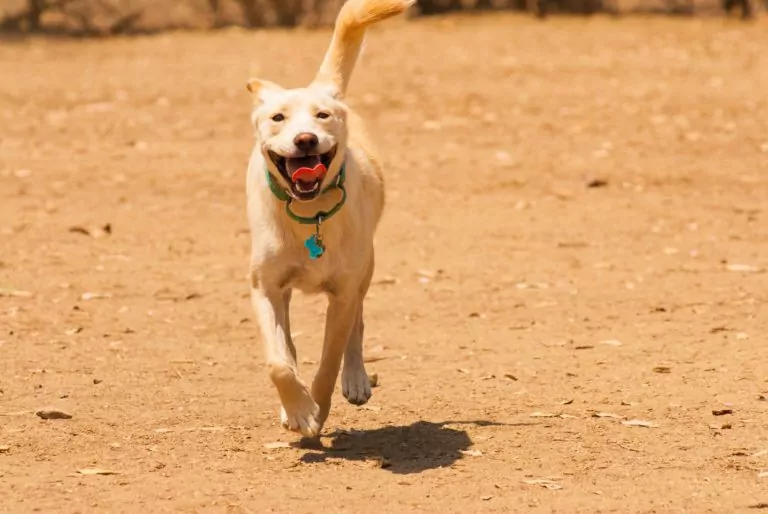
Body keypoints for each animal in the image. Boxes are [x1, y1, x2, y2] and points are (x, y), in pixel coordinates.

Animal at [244, 0, 414, 436]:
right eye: (278, 118)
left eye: (322, 116)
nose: (305, 139)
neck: (310, 214)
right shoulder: (265, 288)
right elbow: (278, 362)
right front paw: (296, 408)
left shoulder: (342, 294)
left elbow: (328, 363)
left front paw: (315, 410)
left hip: (366, 268)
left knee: (357, 325)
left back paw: (355, 378)